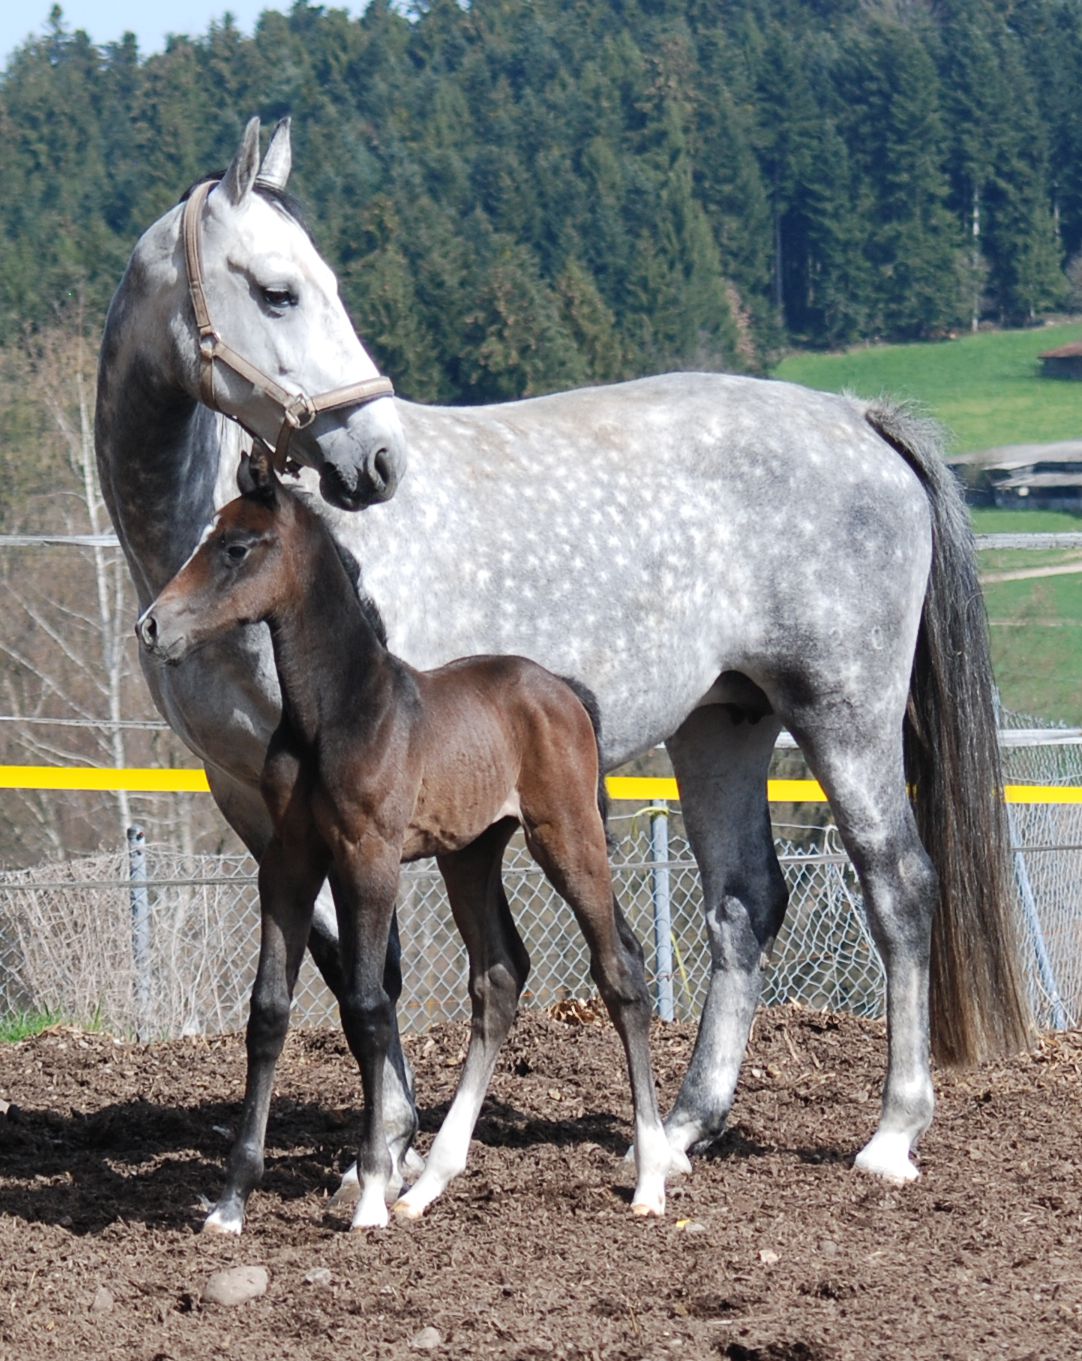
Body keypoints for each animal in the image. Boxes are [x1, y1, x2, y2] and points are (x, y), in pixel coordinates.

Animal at [137, 447, 681, 1230]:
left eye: (236, 548)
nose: (152, 626)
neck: (335, 713)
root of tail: (563, 690)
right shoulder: (289, 862)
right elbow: (269, 1011)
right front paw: (232, 1202)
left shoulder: (370, 858)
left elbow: (367, 1006)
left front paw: (369, 1192)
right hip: (470, 854)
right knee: (499, 976)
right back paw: (430, 1185)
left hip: (568, 836)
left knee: (621, 973)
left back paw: (649, 1179)